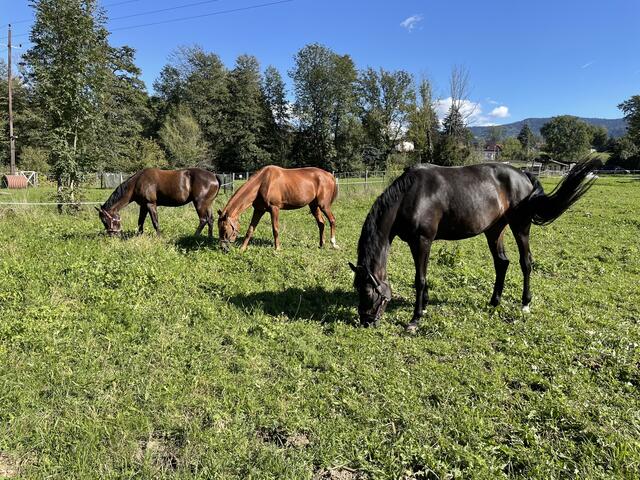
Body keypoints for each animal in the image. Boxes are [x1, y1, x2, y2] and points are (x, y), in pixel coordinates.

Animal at [349, 159, 601, 332]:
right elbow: (424, 277)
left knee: (525, 262)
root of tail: (524, 176)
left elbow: (419, 279)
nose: (366, 322)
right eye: (356, 289)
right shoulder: (419, 243)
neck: (411, 196)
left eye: (368, 292)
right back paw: (494, 302)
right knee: (502, 263)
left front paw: (415, 318)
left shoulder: (422, 241)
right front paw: (425, 306)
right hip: (494, 230)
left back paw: (525, 304)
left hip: (520, 227)